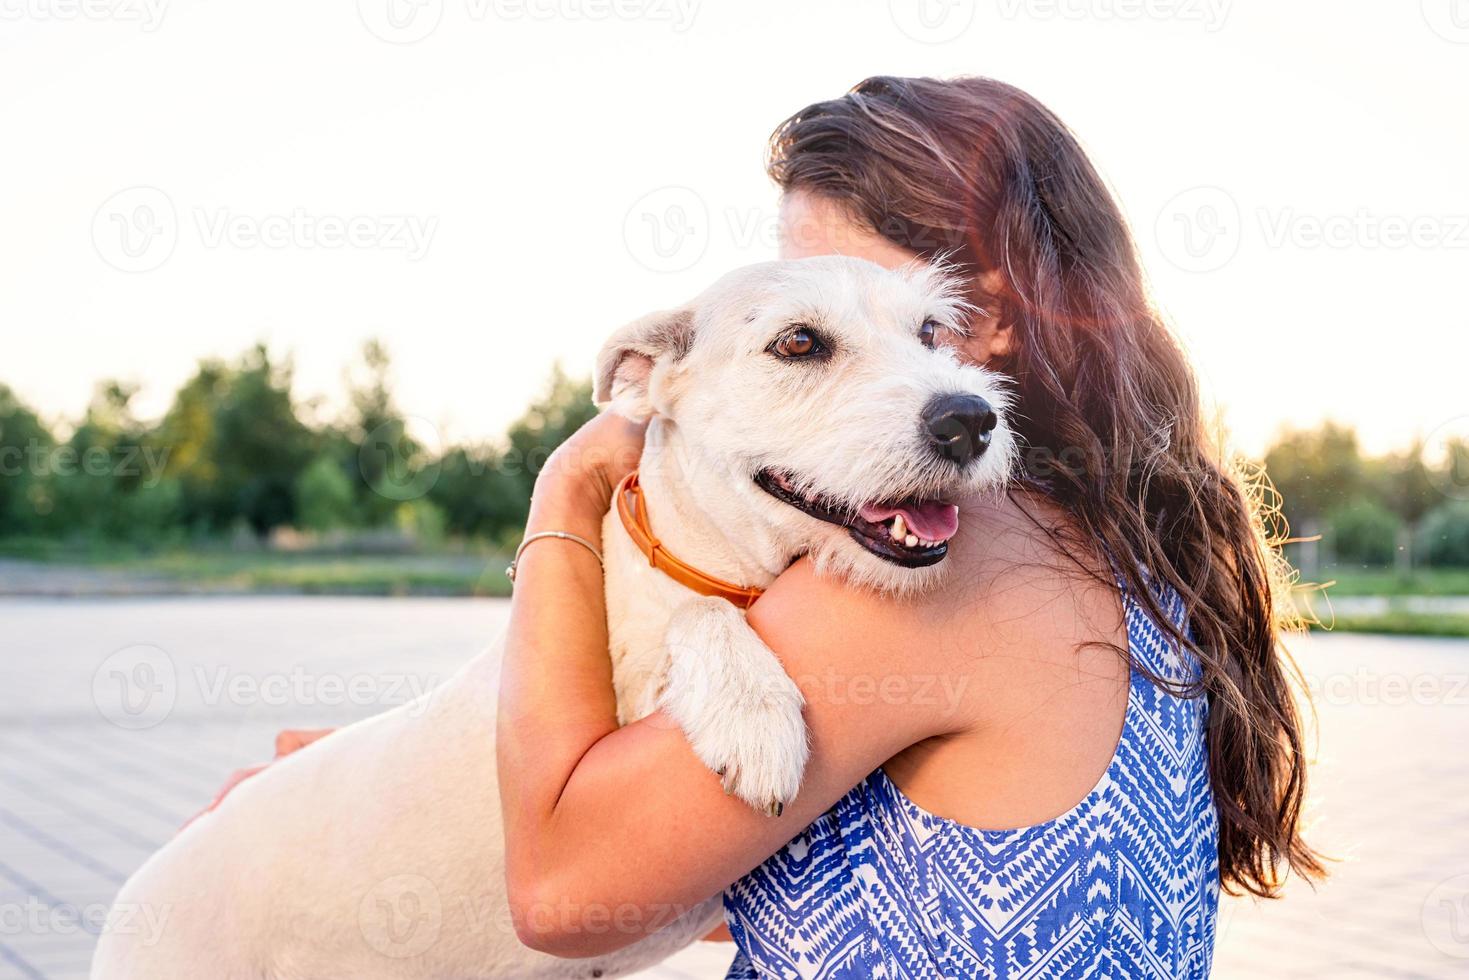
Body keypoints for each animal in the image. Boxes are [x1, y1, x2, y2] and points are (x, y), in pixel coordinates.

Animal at [91, 258, 1010, 980]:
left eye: (931, 330)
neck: (710, 557)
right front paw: (751, 714)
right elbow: (700, 620)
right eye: (797, 343)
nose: (968, 420)